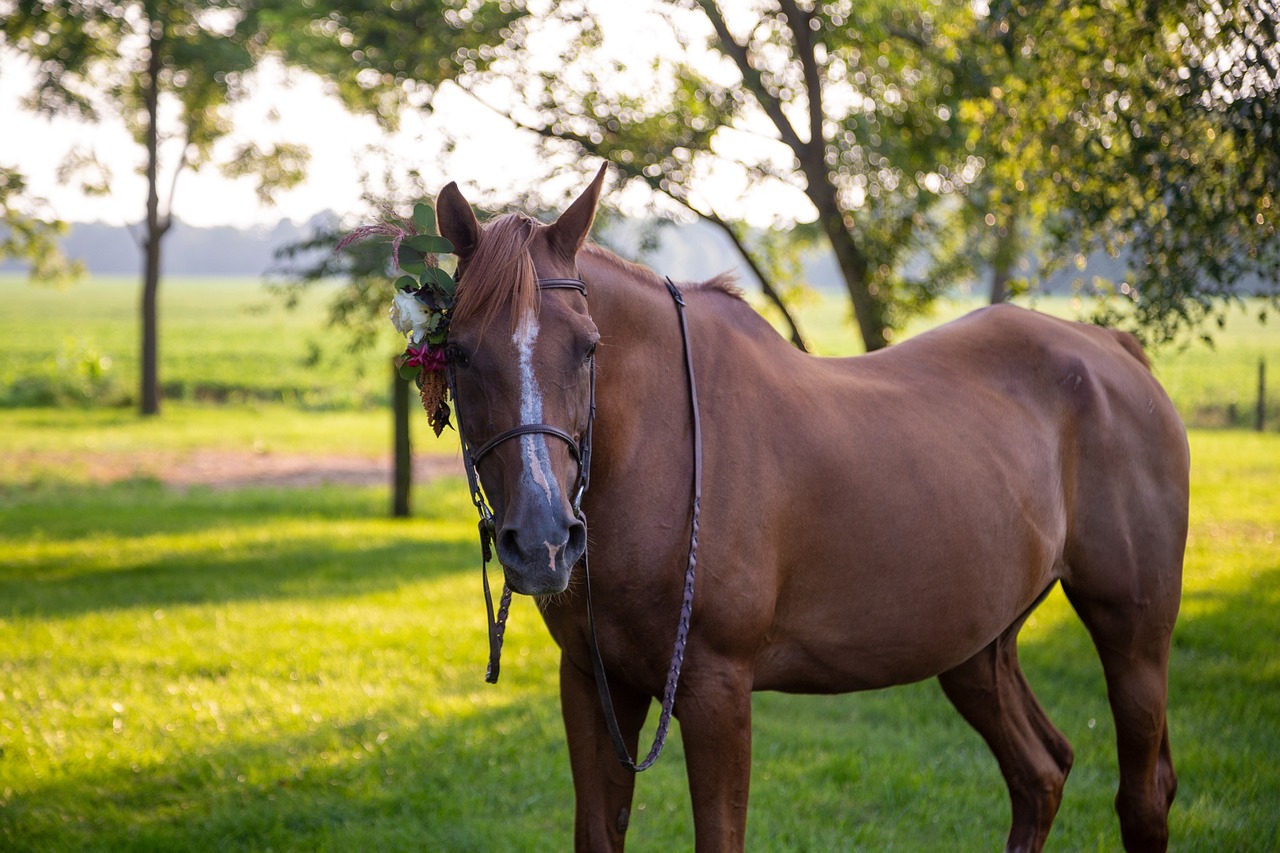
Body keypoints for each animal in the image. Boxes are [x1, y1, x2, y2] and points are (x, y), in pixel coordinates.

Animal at [432, 162, 1187, 845]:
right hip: (978, 648)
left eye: (588, 348)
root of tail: (1111, 350)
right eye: (460, 352)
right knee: (1041, 773)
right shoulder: (594, 683)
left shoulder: (716, 689)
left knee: (1143, 795)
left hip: (1133, 633)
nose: (543, 540)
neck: (664, 447)